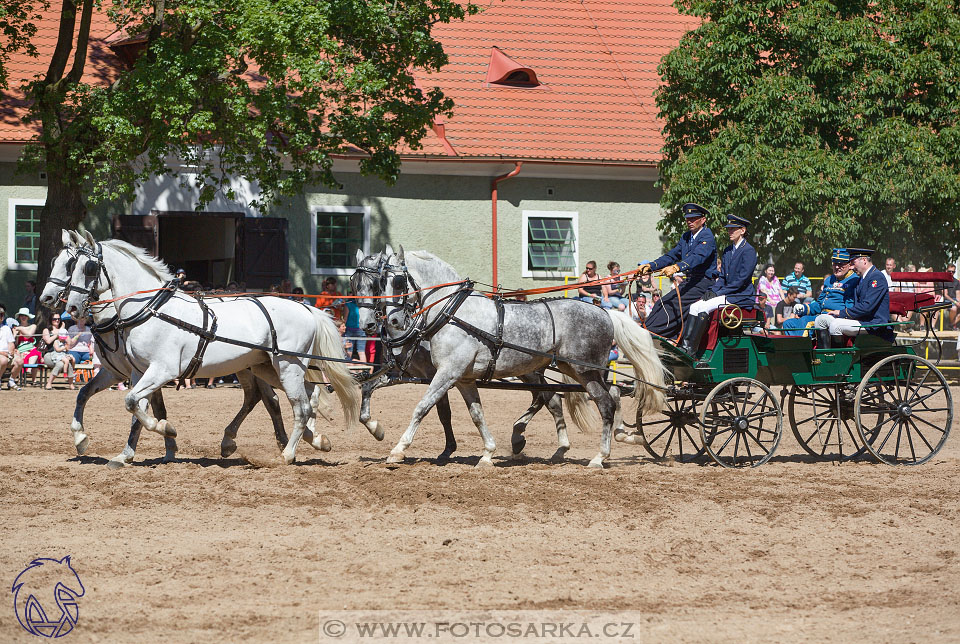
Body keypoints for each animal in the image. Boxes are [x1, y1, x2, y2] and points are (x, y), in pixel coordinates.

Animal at [354, 247, 668, 468]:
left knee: (604, 403)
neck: (452, 312)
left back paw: (599, 457)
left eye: (396, 281)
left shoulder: (446, 373)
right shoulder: (461, 378)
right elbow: (476, 414)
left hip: (585, 370)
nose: (391, 320)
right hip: (573, 370)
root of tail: (604, 311)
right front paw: (487, 453)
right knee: (599, 396)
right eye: (365, 283)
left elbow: (422, 408)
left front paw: (397, 450)